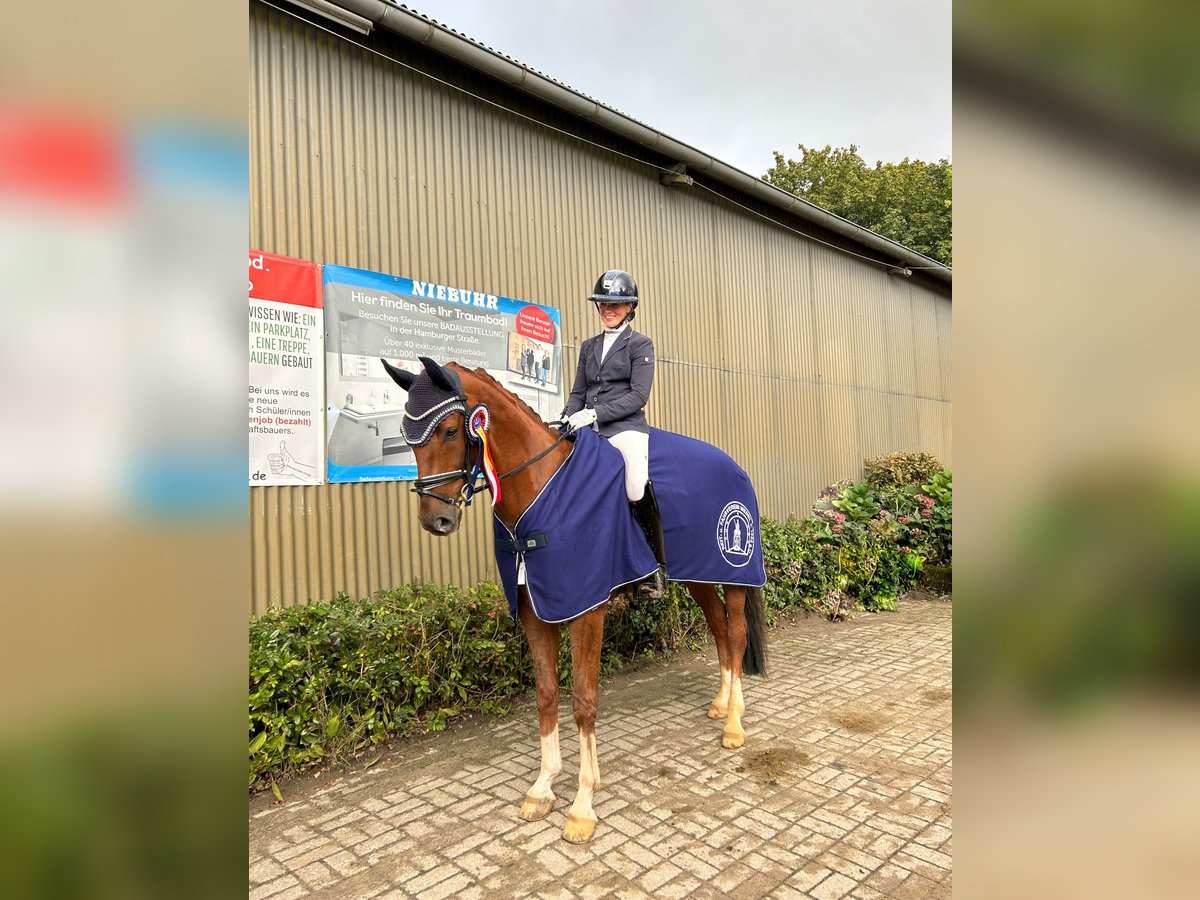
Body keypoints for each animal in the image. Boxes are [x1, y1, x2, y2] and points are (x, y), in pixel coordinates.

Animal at [379, 360, 763, 844]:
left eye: (450, 431)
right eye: (406, 435)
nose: (437, 520)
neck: (542, 488)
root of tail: (732, 465)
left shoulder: (587, 609)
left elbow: (583, 701)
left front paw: (582, 806)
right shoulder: (534, 609)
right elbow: (546, 695)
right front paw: (543, 787)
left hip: (734, 573)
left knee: (736, 633)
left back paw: (734, 725)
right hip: (698, 575)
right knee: (718, 631)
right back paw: (721, 704)